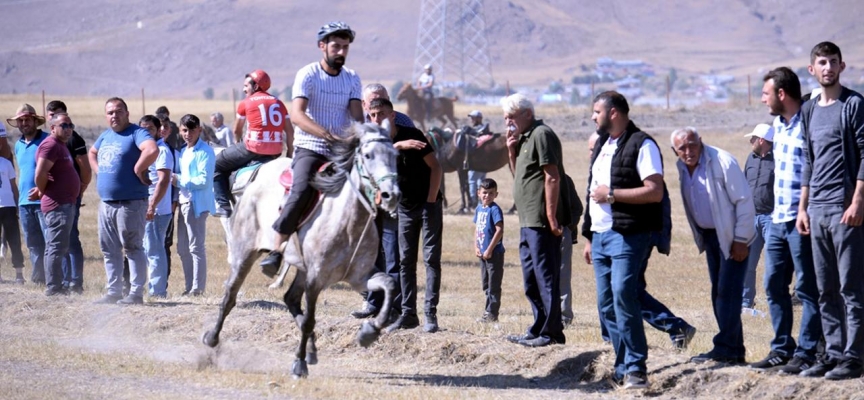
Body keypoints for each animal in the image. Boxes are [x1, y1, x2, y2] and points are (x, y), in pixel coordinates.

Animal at [202, 122, 402, 378]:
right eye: (368, 155)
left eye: (395, 155)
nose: (391, 195)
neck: (348, 222)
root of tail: (254, 180)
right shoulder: (316, 279)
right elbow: (309, 320)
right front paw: (299, 364)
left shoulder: (359, 277)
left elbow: (389, 284)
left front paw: (370, 331)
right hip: (245, 253)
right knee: (230, 295)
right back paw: (212, 338)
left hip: (301, 269)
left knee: (290, 299)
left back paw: (312, 349)